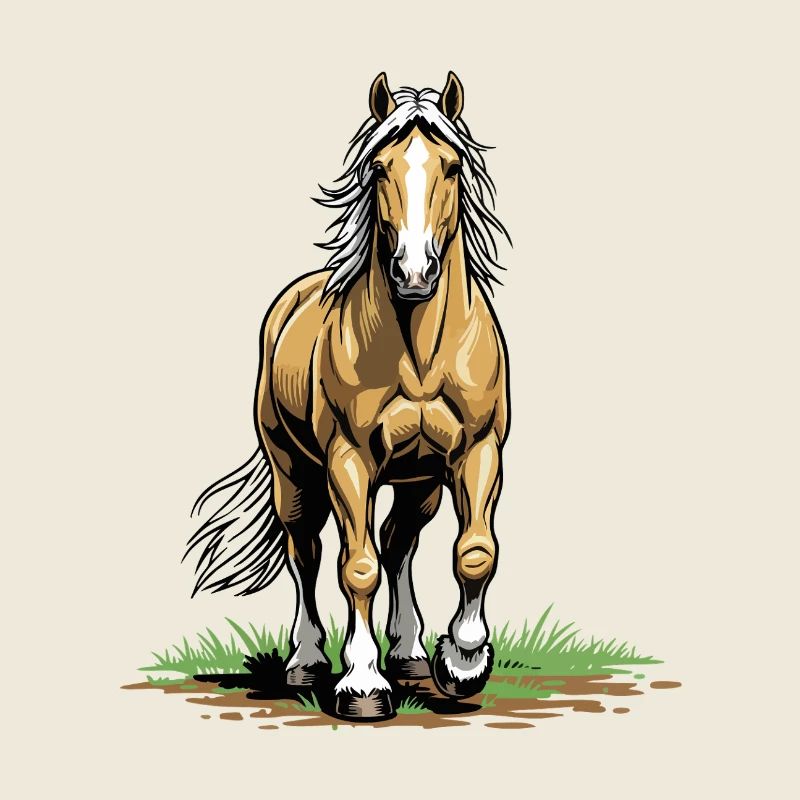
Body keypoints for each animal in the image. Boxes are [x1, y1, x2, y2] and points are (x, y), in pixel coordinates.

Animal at [185, 72, 511, 721]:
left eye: (452, 165)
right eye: (379, 168)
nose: (414, 272)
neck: (420, 351)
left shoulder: (478, 452)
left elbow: (474, 552)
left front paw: (462, 661)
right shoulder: (349, 462)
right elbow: (355, 567)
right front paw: (362, 684)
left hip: (418, 480)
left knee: (399, 543)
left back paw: (409, 654)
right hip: (294, 472)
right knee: (307, 552)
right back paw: (308, 660)